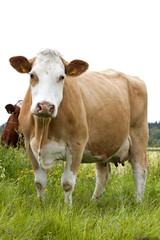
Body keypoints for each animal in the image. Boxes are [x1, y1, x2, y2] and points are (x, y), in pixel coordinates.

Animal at [9, 49, 149, 204]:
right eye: (32, 75)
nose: (45, 106)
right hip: (103, 143)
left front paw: (67, 207)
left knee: (140, 170)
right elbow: (39, 182)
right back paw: (93, 202)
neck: (43, 130)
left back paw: (138, 202)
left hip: (139, 136)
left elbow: (68, 183)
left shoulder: (77, 144)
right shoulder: (29, 144)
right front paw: (41, 204)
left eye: (62, 77)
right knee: (103, 174)